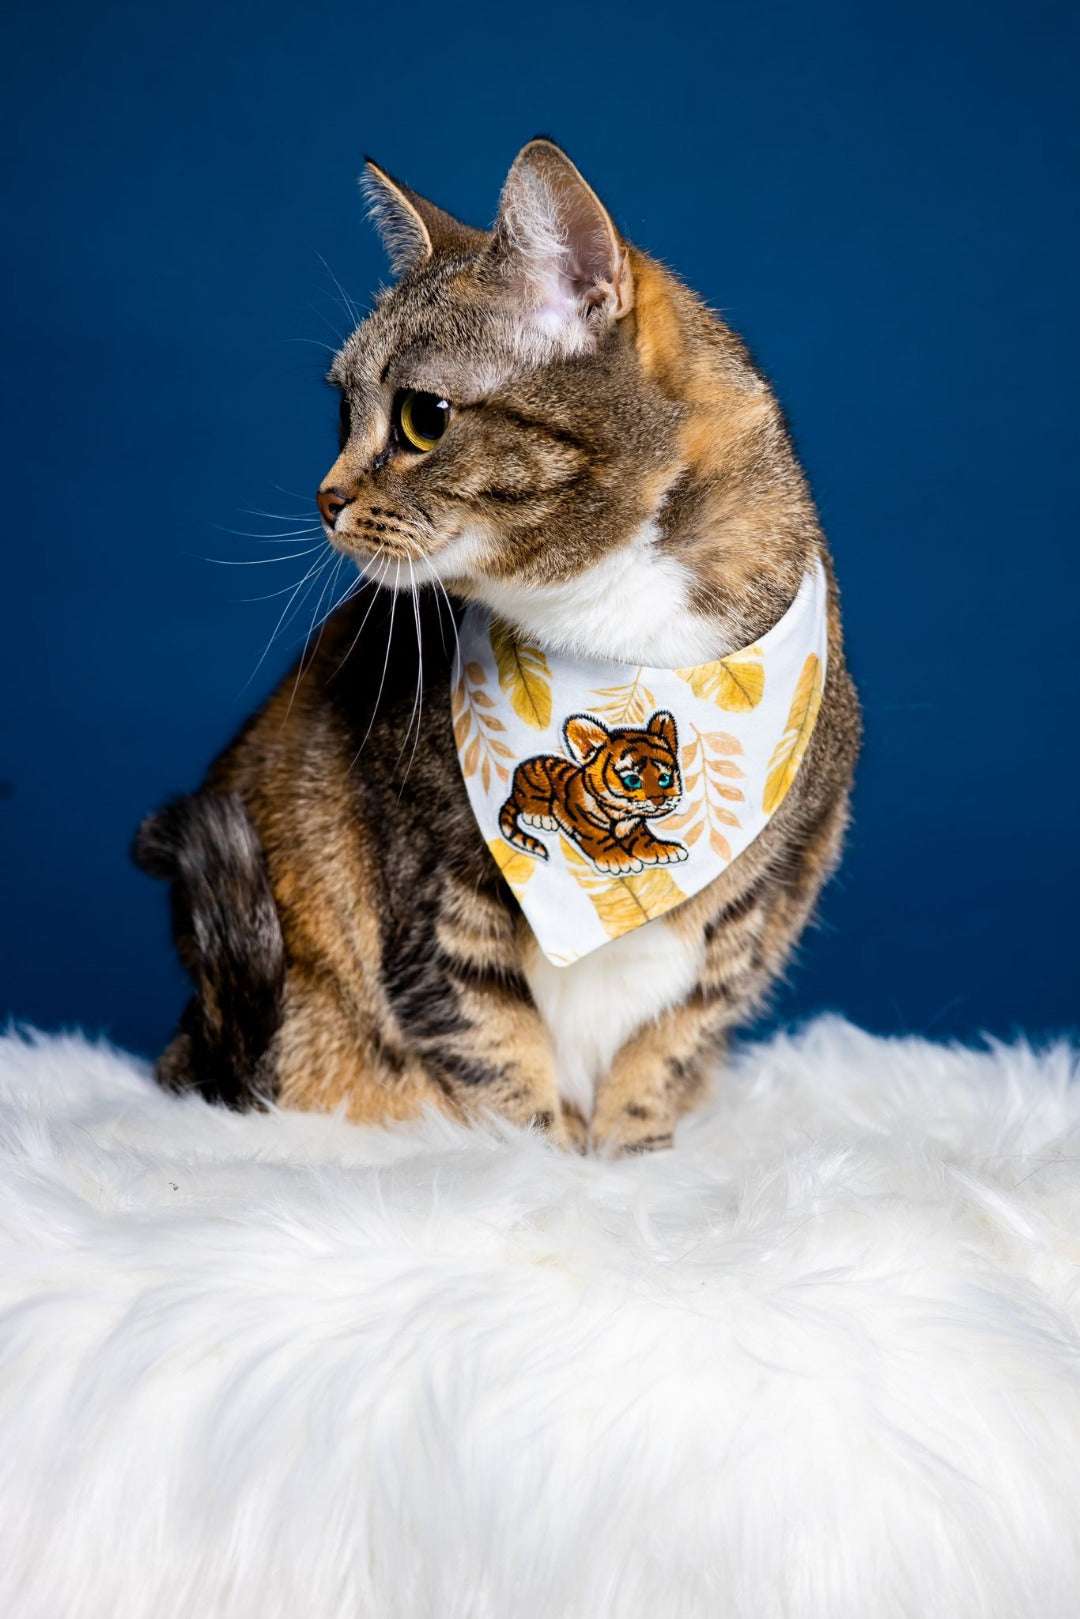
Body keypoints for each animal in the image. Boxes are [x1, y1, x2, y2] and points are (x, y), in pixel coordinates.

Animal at [498, 710, 687, 875]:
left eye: (664, 779)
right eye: (632, 780)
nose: (659, 801)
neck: (622, 815)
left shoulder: (632, 827)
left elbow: (644, 839)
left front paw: (664, 849)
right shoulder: (582, 820)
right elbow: (602, 839)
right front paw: (619, 860)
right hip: (535, 779)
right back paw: (541, 817)